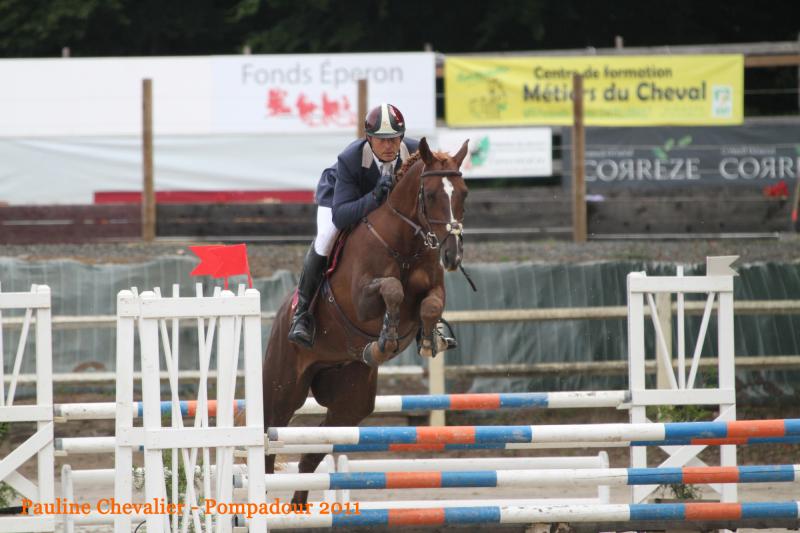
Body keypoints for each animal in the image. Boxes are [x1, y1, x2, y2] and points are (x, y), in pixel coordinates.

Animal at [262, 137, 469, 504]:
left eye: (464, 193)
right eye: (430, 194)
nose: (452, 256)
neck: (406, 243)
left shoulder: (434, 290)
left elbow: (429, 307)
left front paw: (428, 339)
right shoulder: (361, 299)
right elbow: (392, 290)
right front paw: (384, 340)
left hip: (350, 401)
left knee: (312, 454)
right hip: (282, 388)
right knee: (269, 445)